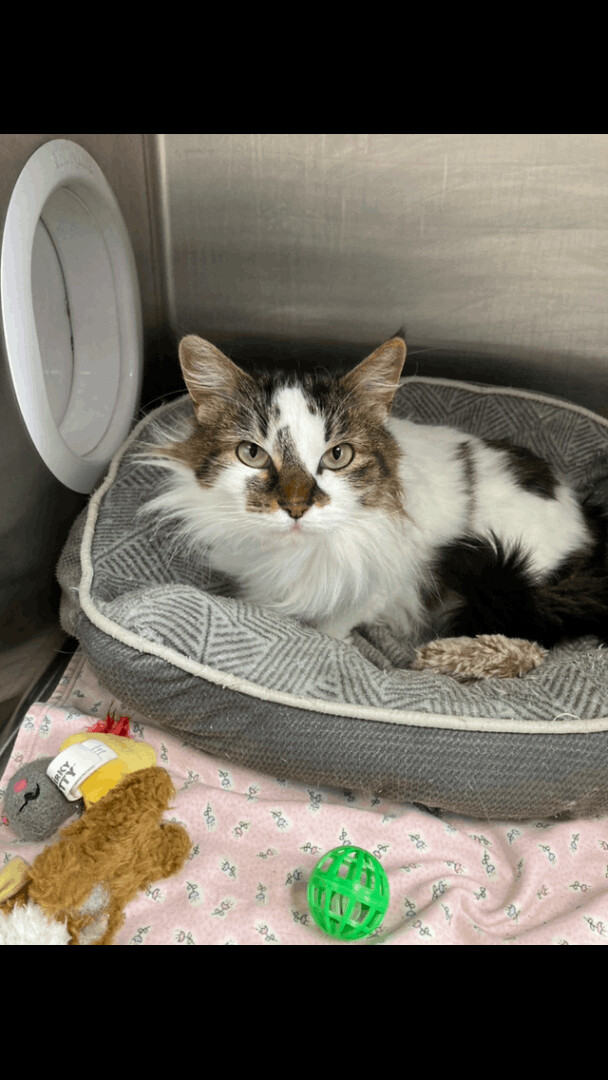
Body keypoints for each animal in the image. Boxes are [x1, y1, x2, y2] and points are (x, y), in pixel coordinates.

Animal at [140, 332, 608, 678]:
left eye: (338, 455)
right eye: (252, 453)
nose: (296, 506)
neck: (296, 556)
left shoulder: (389, 584)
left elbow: (338, 621)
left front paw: (329, 640)